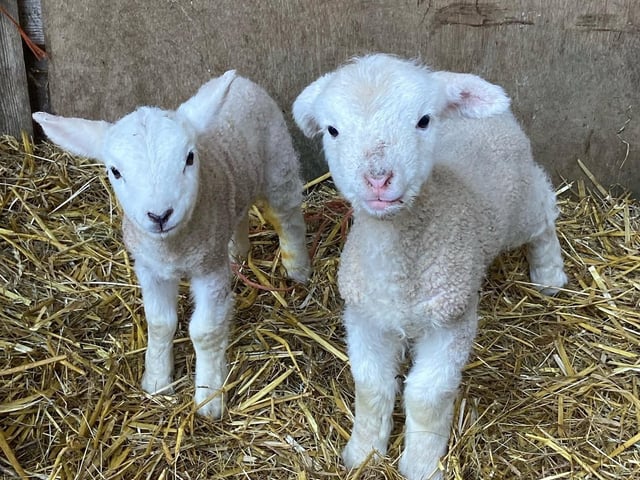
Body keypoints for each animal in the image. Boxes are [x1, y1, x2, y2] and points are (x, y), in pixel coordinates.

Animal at [33, 70, 311, 419]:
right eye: (115, 171)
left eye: (189, 157)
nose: (160, 215)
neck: (171, 248)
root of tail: (244, 83)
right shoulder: (150, 268)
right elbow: (160, 323)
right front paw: (156, 382)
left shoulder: (208, 270)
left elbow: (204, 332)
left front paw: (208, 398)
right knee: (239, 212)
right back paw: (237, 251)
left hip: (279, 165)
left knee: (288, 217)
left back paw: (297, 268)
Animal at [292, 53, 567, 480]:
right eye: (333, 130)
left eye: (423, 121)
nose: (378, 180)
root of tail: (448, 78)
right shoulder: (364, 316)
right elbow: (371, 386)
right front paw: (364, 452)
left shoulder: (452, 320)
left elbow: (426, 394)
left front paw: (421, 463)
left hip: (519, 205)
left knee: (543, 208)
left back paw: (549, 272)